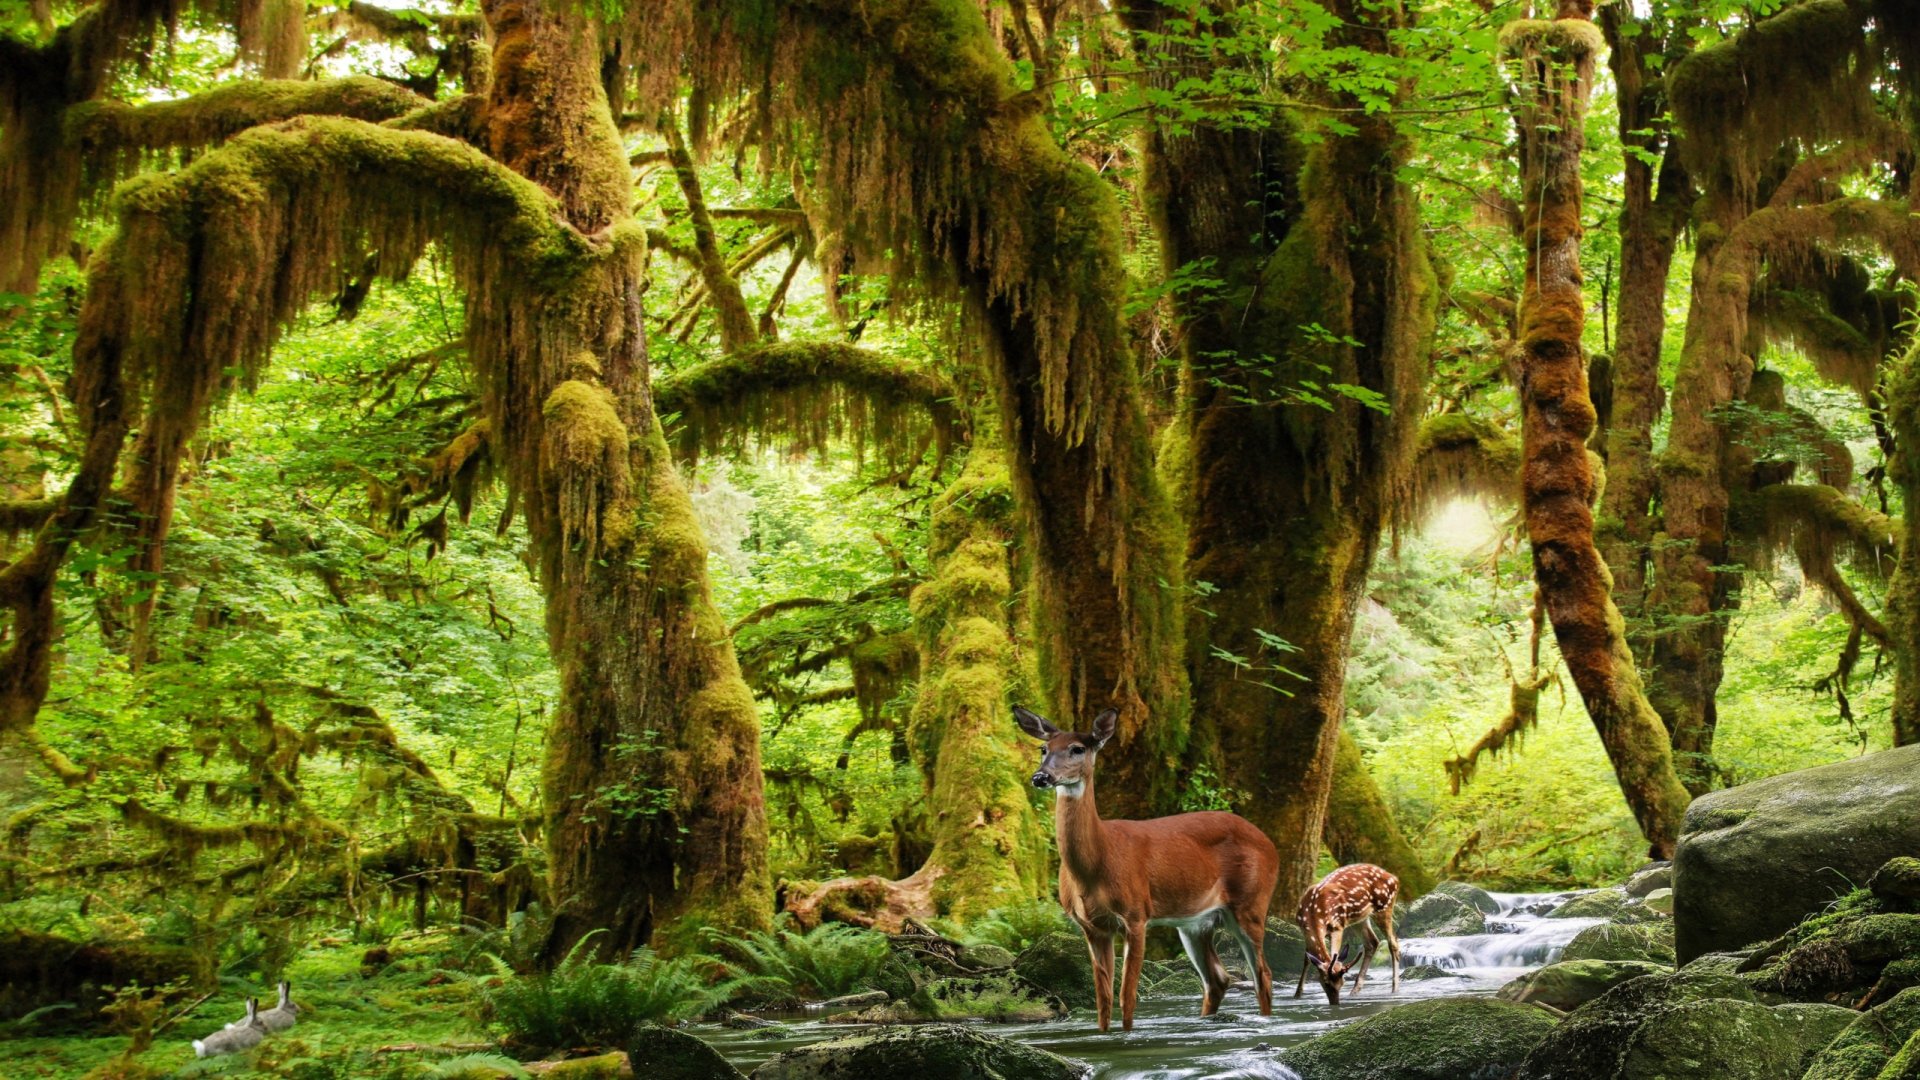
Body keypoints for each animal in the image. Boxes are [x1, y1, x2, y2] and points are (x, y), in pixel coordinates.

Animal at [1016, 705, 1280, 1033]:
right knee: (1218, 979)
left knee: (1263, 974)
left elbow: (1126, 996)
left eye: (1077, 748)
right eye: (1043, 748)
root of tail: (1270, 844)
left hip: (1252, 903)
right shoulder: (1092, 927)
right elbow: (1102, 1001)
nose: (1041, 776)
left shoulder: (1136, 914)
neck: (1096, 865)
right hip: (1195, 923)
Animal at [1294, 862, 1401, 1006]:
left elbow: (1334, 954)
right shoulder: (1304, 930)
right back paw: (1355, 991)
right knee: (1372, 942)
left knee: (1393, 942)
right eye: (1325, 983)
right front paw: (1297, 995)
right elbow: (1307, 959)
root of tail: (1395, 878)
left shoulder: (1337, 925)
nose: (1335, 1003)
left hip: (1384, 907)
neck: (1313, 915)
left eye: (1342, 983)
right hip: (1360, 918)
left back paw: (1394, 989)